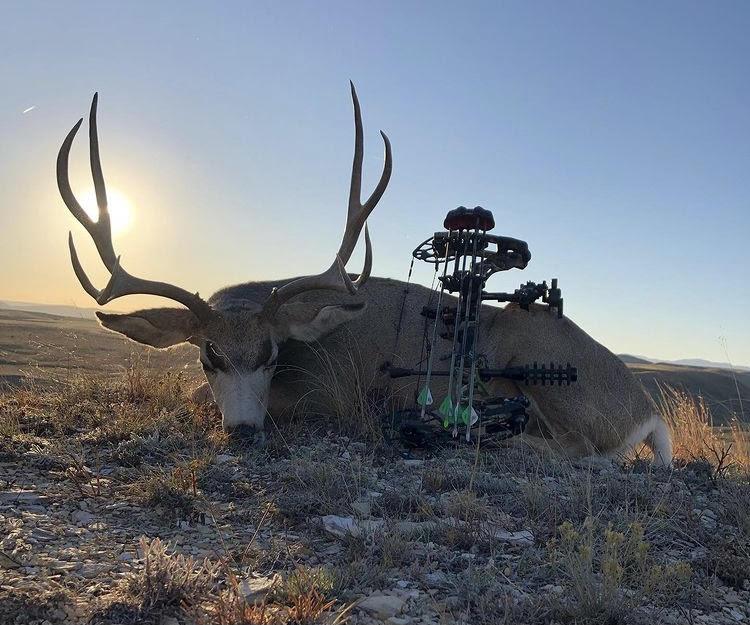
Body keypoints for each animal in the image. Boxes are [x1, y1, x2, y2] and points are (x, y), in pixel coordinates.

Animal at [56, 85, 673, 466]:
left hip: (538, 358)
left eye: (272, 354)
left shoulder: (330, 395)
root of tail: (647, 410)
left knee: (580, 451)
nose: (244, 432)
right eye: (209, 355)